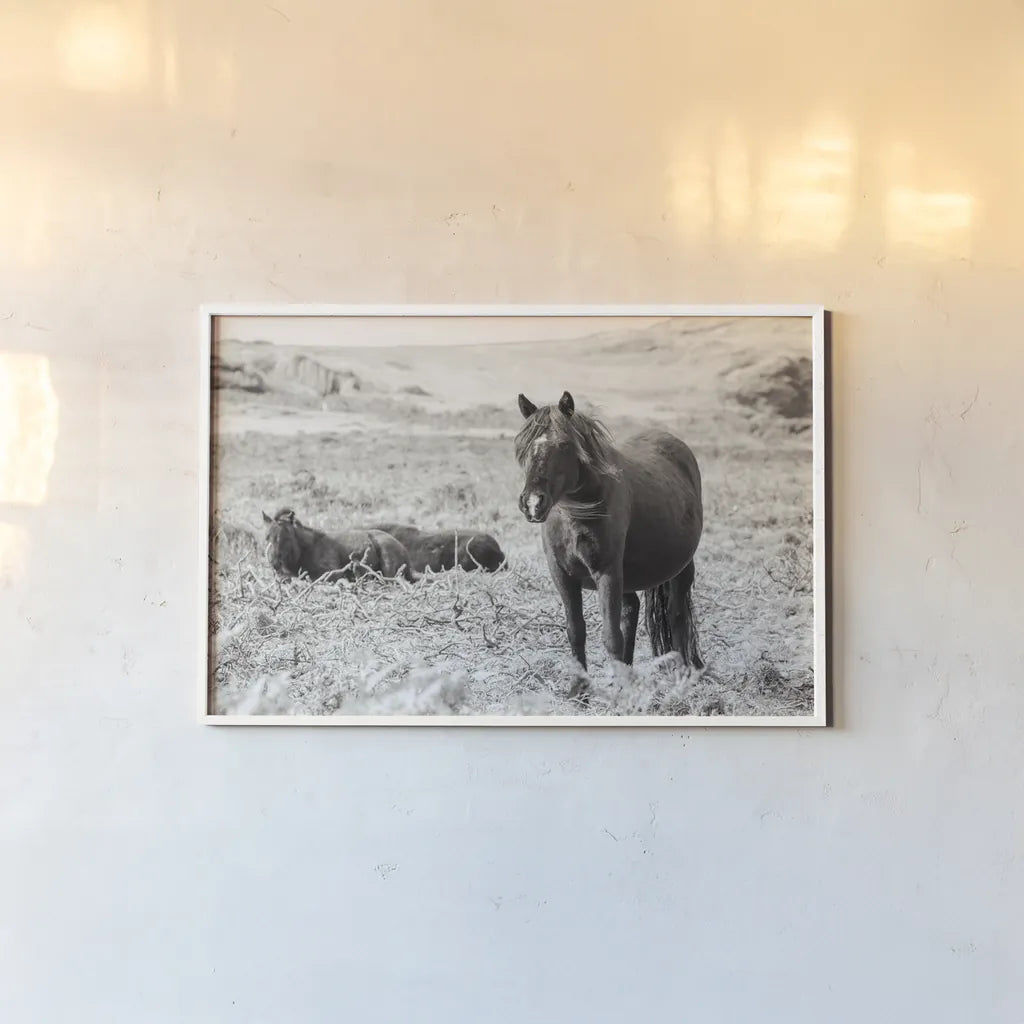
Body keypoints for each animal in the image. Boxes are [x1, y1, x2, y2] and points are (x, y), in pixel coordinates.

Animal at [261, 509, 418, 583]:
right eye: (267, 538)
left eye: (286, 538)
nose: (274, 562)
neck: (305, 549)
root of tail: (403, 549)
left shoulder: (332, 574)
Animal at [514, 390, 703, 694]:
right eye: (523, 447)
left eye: (564, 444)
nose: (532, 503)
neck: (578, 514)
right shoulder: (562, 575)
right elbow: (576, 631)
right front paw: (578, 692)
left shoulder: (607, 573)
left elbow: (611, 635)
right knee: (631, 609)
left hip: (681, 569)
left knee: (676, 615)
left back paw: (681, 674)